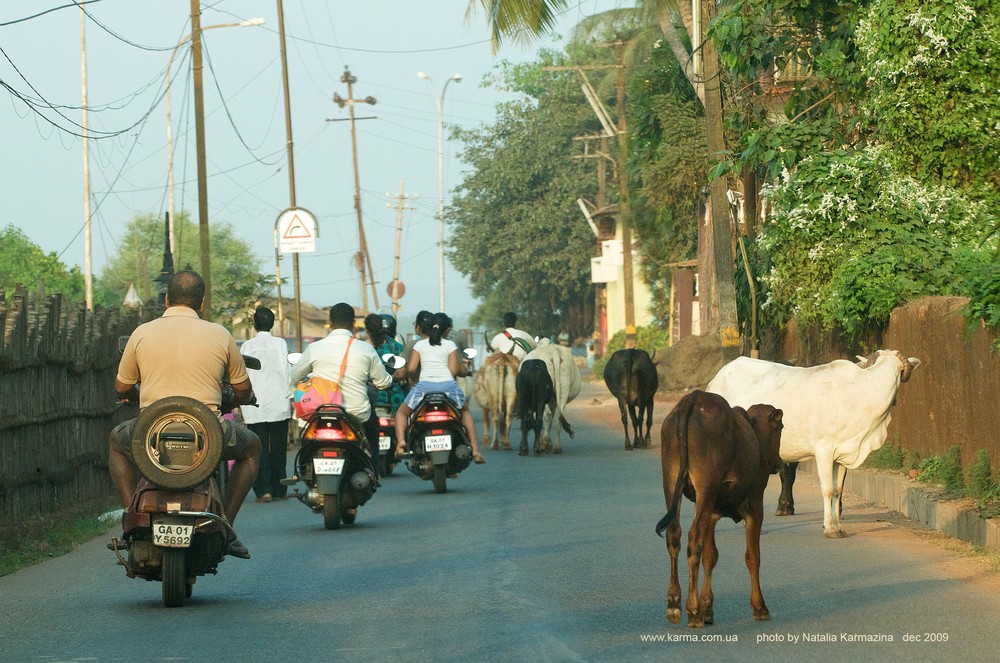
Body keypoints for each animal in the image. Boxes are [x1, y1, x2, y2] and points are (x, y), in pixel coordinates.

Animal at [656, 392, 788, 632]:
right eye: (781, 427)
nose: (779, 462)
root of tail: (693, 398)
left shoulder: (711, 512)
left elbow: (711, 556)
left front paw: (707, 609)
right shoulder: (755, 505)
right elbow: (752, 556)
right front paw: (759, 606)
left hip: (672, 484)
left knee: (674, 536)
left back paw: (674, 604)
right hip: (706, 489)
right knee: (693, 539)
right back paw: (692, 609)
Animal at [708, 348, 916, 540]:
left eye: (899, 370)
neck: (860, 393)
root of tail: (714, 382)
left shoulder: (842, 455)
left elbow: (838, 491)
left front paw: (839, 527)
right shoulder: (824, 450)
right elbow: (828, 489)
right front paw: (830, 529)